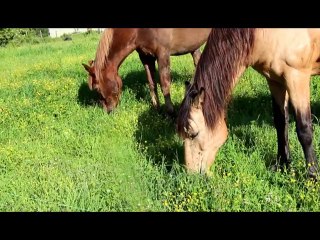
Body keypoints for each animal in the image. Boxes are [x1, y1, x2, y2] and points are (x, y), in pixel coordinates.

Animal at [82, 27, 212, 114]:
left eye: (97, 88)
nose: (108, 111)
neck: (139, 31)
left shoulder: (163, 54)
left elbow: (165, 84)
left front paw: (170, 112)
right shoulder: (146, 57)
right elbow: (151, 83)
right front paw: (156, 109)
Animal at [176, 27, 320, 178]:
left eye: (193, 133)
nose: (190, 175)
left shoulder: (297, 77)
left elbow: (304, 129)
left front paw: (312, 174)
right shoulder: (275, 81)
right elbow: (281, 124)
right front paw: (282, 164)